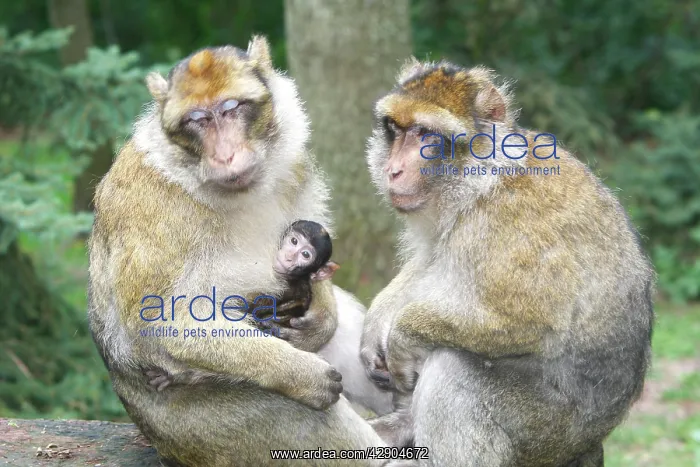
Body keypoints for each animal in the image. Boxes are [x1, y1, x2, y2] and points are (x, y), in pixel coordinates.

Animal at [87, 36, 397, 467]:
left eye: (231, 108)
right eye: (197, 120)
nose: (226, 155)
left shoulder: (295, 168)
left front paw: (321, 316)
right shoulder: (150, 209)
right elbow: (159, 323)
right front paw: (298, 374)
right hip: (202, 431)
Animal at [360, 58, 654, 466]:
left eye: (425, 135)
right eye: (397, 130)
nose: (393, 170)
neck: (482, 184)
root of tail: (591, 441)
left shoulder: (510, 223)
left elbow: (528, 322)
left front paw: (402, 334)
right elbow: (429, 260)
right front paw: (377, 322)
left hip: (546, 430)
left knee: (453, 370)